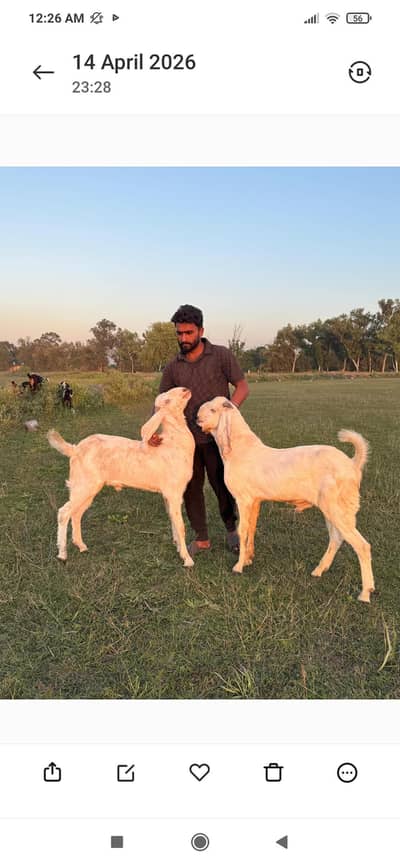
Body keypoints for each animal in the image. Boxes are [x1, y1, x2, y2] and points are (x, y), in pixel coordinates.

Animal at [47, 387, 195, 567]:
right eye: (166, 400)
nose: (185, 389)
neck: (173, 443)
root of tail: (74, 450)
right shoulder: (174, 492)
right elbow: (180, 525)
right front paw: (187, 559)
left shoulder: (168, 494)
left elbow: (173, 520)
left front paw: (178, 548)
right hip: (83, 485)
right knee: (63, 513)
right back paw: (62, 554)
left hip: (87, 489)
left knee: (76, 514)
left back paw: (81, 545)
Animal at [197, 397, 374, 602]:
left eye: (212, 409)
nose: (197, 417)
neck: (241, 449)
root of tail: (352, 464)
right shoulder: (255, 500)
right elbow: (251, 528)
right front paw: (248, 558)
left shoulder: (243, 499)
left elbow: (242, 530)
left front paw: (238, 567)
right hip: (335, 509)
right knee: (337, 538)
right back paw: (319, 571)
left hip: (338, 508)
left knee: (361, 545)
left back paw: (365, 593)